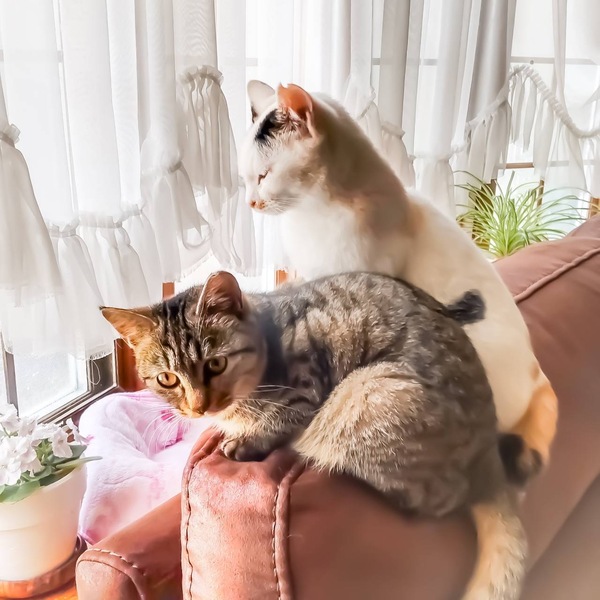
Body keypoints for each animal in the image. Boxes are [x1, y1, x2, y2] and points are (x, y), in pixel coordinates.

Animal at [102, 270, 526, 600]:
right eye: (167, 379)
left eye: (216, 364)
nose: (200, 406)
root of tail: (487, 460)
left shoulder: (306, 388)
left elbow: (280, 419)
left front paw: (244, 441)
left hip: (369, 392)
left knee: (432, 499)